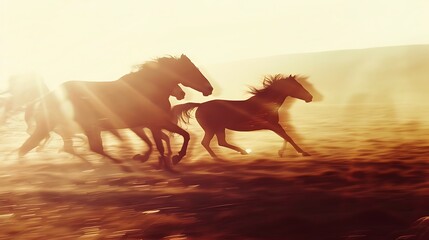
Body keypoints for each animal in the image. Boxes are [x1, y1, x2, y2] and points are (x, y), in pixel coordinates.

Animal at [18, 54, 212, 168]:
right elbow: (166, 142)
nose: (209, 89)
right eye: (191, 70)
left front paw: (164, 160)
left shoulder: (153, 124)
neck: (147, 89)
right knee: (90, 147)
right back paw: (120, 164)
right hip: (81, 126)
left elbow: (174, 139)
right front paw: (169, 160)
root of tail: (46, 97)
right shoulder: (154, 123)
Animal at [172, 74, 312, 158]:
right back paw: (220, 157)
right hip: (212, 128)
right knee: (208, 142)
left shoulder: (275, 124)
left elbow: (286, 136)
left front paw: (281, 152)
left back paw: (239, 152)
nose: (310, 97)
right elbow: (288, 137)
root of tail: (200, 105)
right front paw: (304, 152)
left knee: (219, 142)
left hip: (218, 128)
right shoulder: (271, 125)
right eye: (298, 86)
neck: (264, 104)